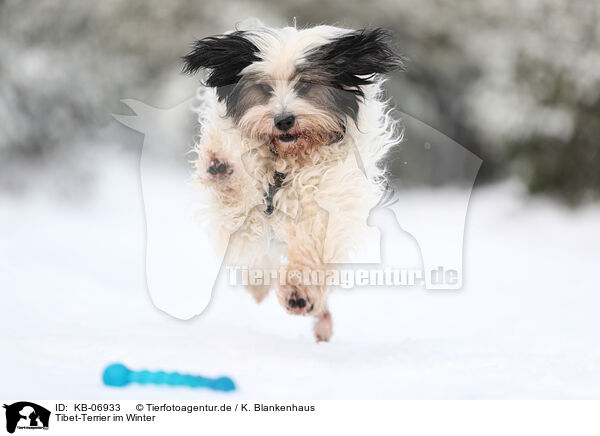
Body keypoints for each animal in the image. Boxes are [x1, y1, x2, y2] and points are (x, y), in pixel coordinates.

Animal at [183, 22, 406, 342]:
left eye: (304, 86)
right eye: (265, 88)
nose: (284, 120)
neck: (286, 161)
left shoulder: (327, 200)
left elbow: (312, 242)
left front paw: (299, 292)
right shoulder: (241, 217)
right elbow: (237, 199)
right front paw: (222, 164)